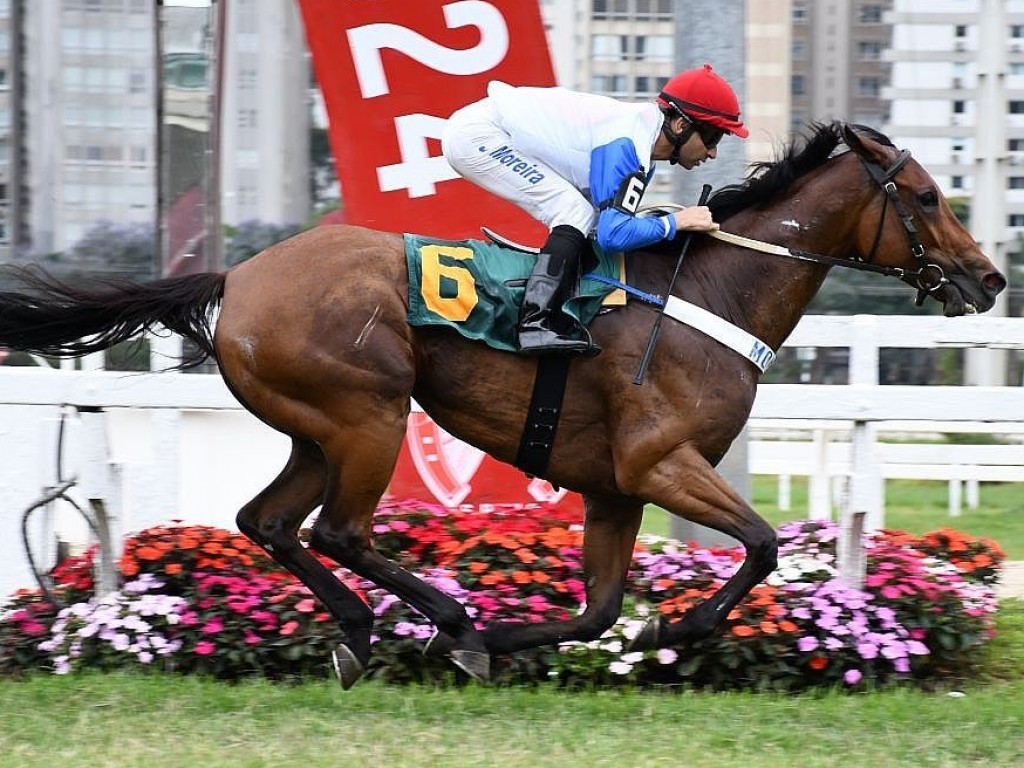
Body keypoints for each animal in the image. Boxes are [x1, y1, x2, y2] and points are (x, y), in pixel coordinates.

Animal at [0, 123, 1003, 688]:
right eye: (924, 196)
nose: (989, 279)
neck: (708, 294)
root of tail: (236, 276)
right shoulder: (659, 463)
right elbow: (759, 545)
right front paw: (676, 626)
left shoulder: (615, 488)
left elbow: (600, 609)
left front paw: (551, 637)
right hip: (369, 415)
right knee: (340, 531)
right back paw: (444, 624)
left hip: (317, 428)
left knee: (270, 522)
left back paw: (365, 633)